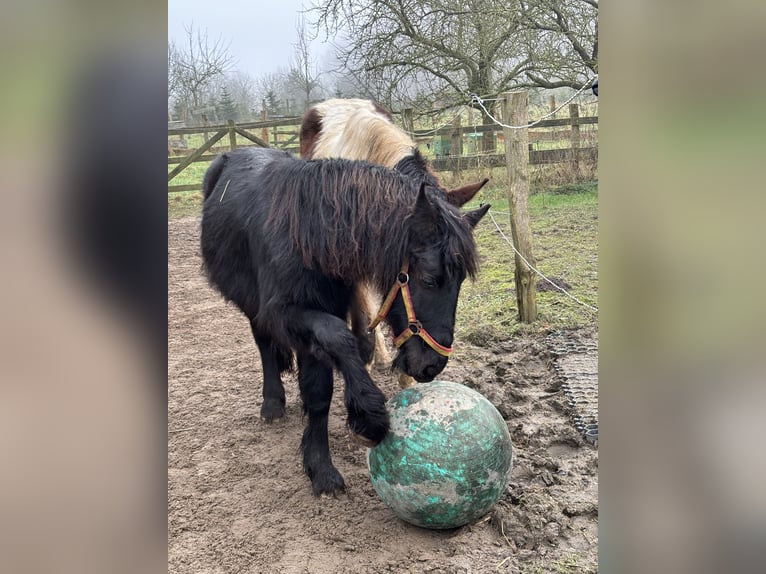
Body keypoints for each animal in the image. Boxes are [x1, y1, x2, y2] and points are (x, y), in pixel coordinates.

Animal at [202, 146, 492, 498]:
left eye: (460, 280)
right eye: (430, 279)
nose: (432, 365)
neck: (308, 234)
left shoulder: (323, 313)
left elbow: (318, 393)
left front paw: (320, 467)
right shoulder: (284, 312)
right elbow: (340, 338)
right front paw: (369, 417)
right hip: (252, 305)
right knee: (264, 343)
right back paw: (272, 403)